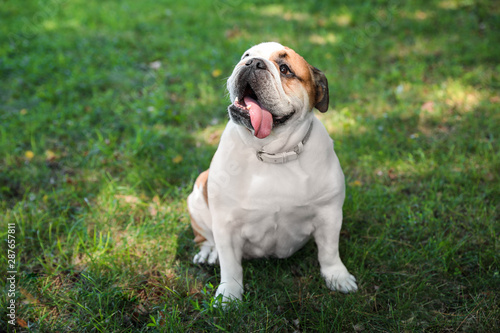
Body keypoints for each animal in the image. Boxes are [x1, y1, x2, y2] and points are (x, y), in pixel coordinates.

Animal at [187, 40, 356, 300]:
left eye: (285, 69)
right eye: (246, 55)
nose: (253, 63)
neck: (272, 153)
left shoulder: (329, 215)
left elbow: (329, 251)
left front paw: (337, 277)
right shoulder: (226, 225)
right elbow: (230, 265)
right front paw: (229, 296)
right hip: (197, 195)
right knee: (204, 236)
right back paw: (207, 252)